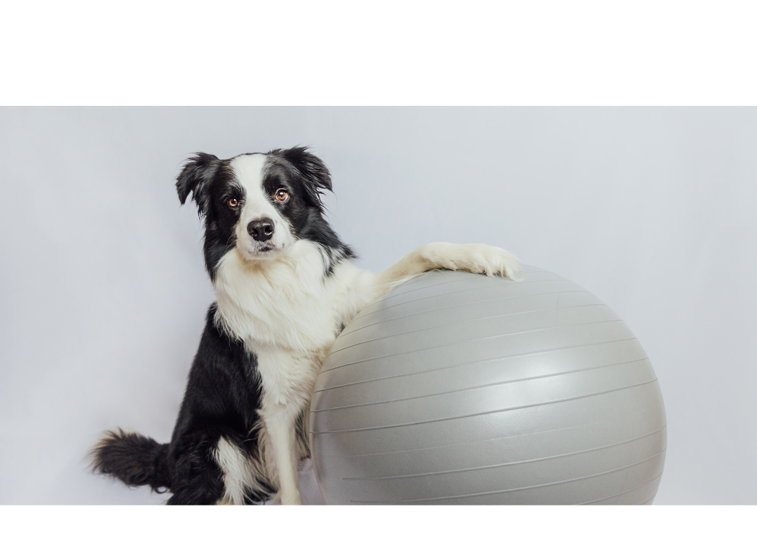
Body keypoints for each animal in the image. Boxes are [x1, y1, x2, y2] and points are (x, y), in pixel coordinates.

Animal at [91, 147, 520, 502]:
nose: (261, 228)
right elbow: (291, 489)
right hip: (214, 445)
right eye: (233, 200)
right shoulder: (275, 409)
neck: (280, 276)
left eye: (281, 193)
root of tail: (166, 457)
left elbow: (423, 250)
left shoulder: (350, 296)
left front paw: (483, 255)